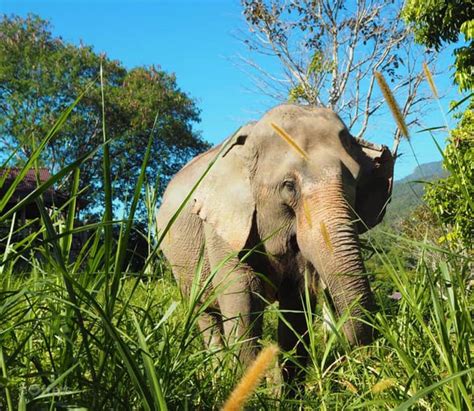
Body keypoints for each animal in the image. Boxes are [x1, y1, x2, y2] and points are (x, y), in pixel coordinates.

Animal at [156, 104, 396, 384]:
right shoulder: (223, 225)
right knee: (204, 313)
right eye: (289, 186)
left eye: (356, 184)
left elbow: (296, 305)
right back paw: (218, 374)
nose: (350, 355)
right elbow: (241, 295)